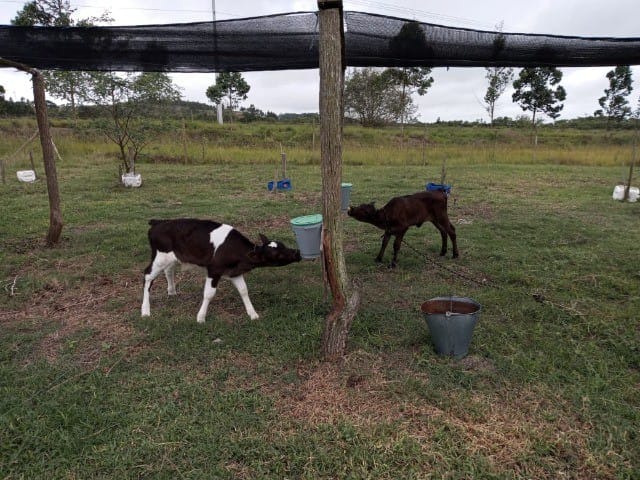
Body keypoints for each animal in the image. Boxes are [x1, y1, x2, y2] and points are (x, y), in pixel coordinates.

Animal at [141, 219, 302, 324]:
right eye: (277, 254)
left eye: (282, 245)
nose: (297, 253)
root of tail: (159, 222)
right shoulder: (214, 270)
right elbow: (209, 294)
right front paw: (201, 318)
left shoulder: (234, 272)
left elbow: (244, 290)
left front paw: (253, 314)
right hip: (159, 256)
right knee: (147, 276)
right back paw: (145, 310)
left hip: (171, 257)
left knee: (168, 270)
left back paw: (172, 291)